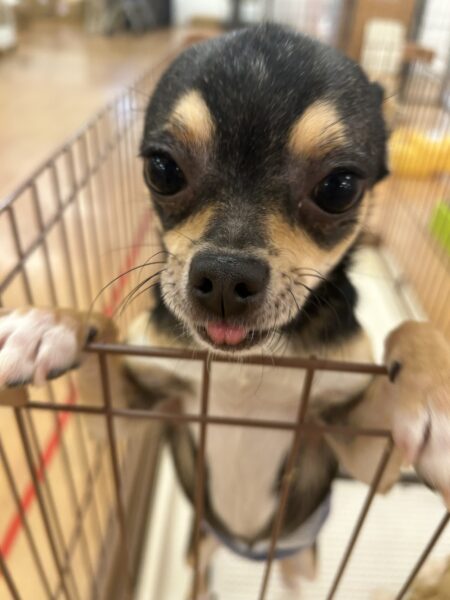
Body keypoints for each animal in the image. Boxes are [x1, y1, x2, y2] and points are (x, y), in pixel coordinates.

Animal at [1, 24, 449, 598]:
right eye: (163, 170)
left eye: (339, 187)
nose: (226, 277)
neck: (247, 369)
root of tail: (248, 549)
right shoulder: (131, 413)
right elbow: (102, 327)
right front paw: (49, 322)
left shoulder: (365, 455)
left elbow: (414, 328)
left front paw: (435, 395)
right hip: (199, 543)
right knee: (201, 573)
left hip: (302, 556)